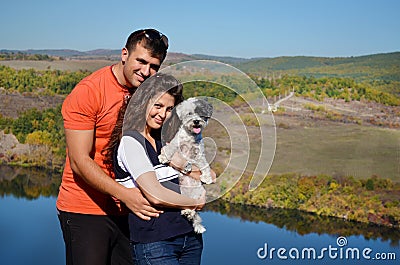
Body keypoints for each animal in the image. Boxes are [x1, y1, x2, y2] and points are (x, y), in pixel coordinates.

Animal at [159, 96, 214, 232]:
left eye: (201, 113)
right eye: (189, 113)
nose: (196, 121)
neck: (190, 137)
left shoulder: (199, 154)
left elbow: (205, 165)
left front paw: (207, 177)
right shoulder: (176, 144)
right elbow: (170, 149)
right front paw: (164, 157)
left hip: (197, 194)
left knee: (193, 208)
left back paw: (188, 212)